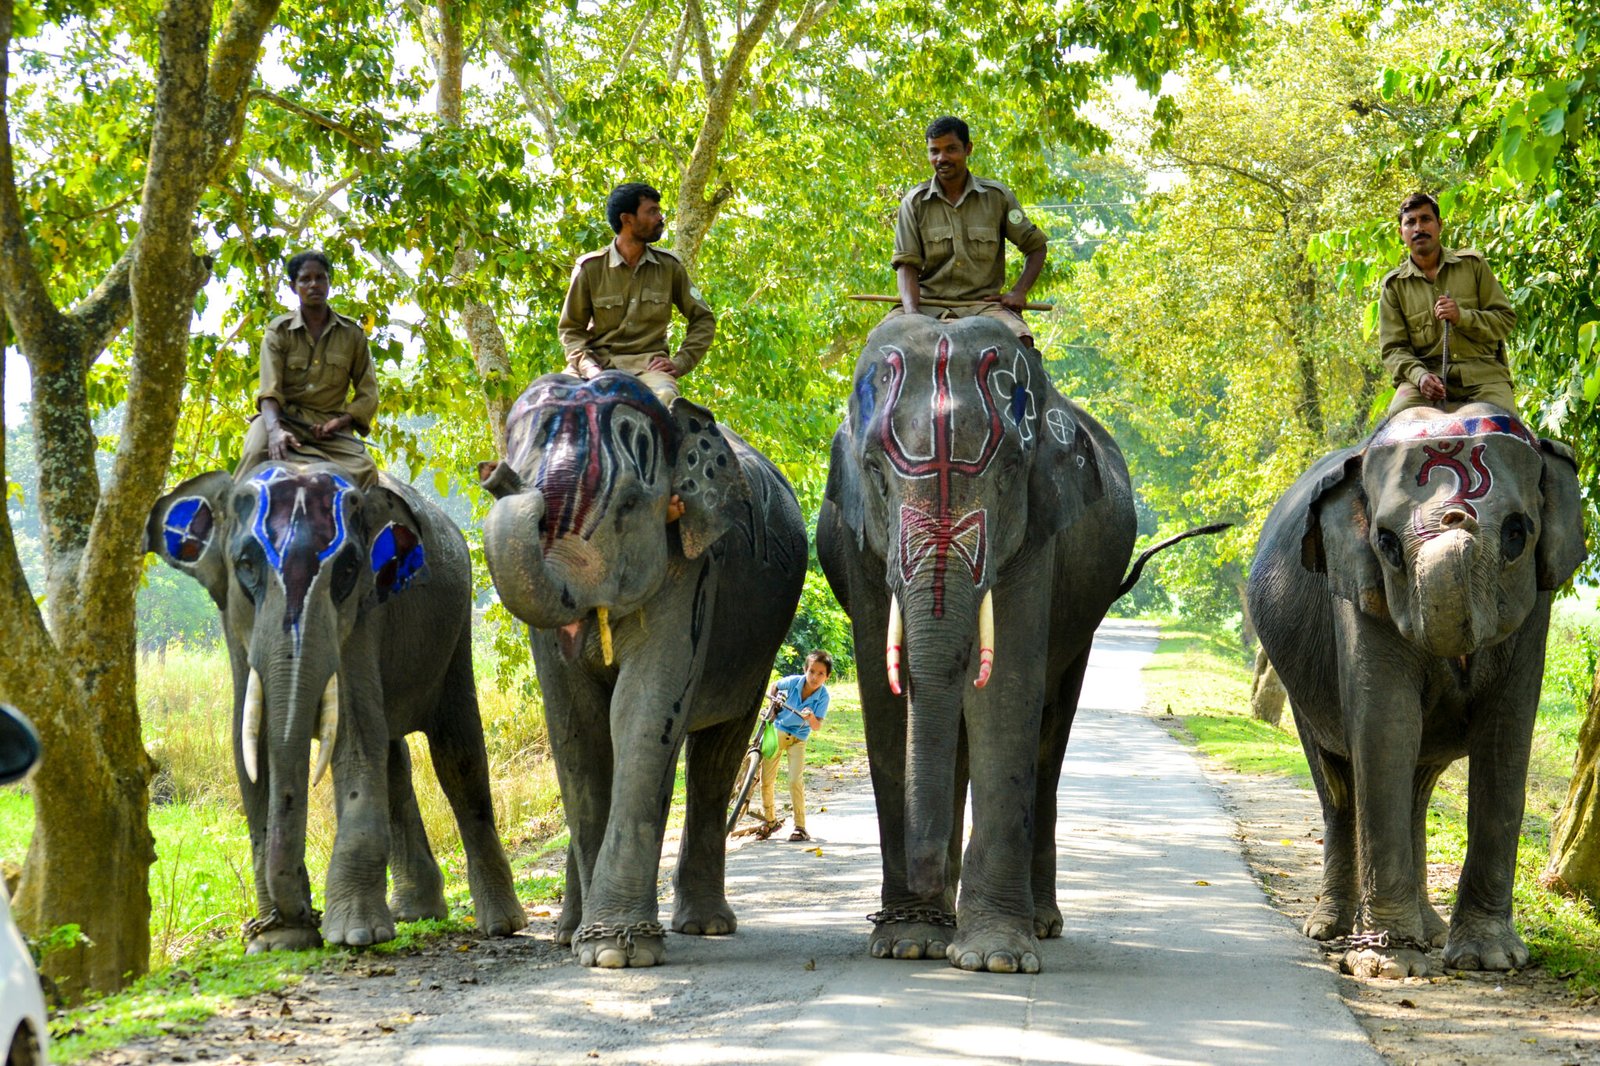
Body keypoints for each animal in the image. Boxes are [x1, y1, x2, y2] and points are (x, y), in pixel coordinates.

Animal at [147, 461, 527, 953]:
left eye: (347, 569)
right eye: (246, 565)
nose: (300, 916)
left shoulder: (364, 616)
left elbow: (356, 735)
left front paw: (355, 935)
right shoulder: (234, 625)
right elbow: (248, 747)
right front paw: (278, 943)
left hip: (456, 628)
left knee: (458, 755)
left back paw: (500, 924)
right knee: (395, 756)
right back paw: (415, 913)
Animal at [478, 371, 806, 968]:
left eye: (630, 505)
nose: (495, 475)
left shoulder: (695, 569)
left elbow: (643, 711)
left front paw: (616, 951)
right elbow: (575, 727)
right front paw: (593, 944)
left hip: (757, 650)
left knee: (718, 755)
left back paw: (706, 926)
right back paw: (567, 931)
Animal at [816, 314, 1142, 974]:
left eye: (1012, 469)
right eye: (875, 473)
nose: (925, 883)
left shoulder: (1037, 531)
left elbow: (1006, 691)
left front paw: (996, 957)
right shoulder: (858, 545)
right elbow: (884, 694)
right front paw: (907, 942)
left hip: (1087, 616)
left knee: (1049, 733)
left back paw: (1038, 923)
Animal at [1247, 404, 1586, 978]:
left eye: (1517, 535)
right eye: (1385, 543)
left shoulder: (1535, 609)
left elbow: (1505, 736)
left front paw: (1491, 960)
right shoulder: (1357, 591)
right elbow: (1386, 729)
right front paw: (1389, 965)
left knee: (1418, 788)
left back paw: (1432, 932)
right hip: (1298, 687)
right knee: (1338, 786)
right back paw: (1330, 929)